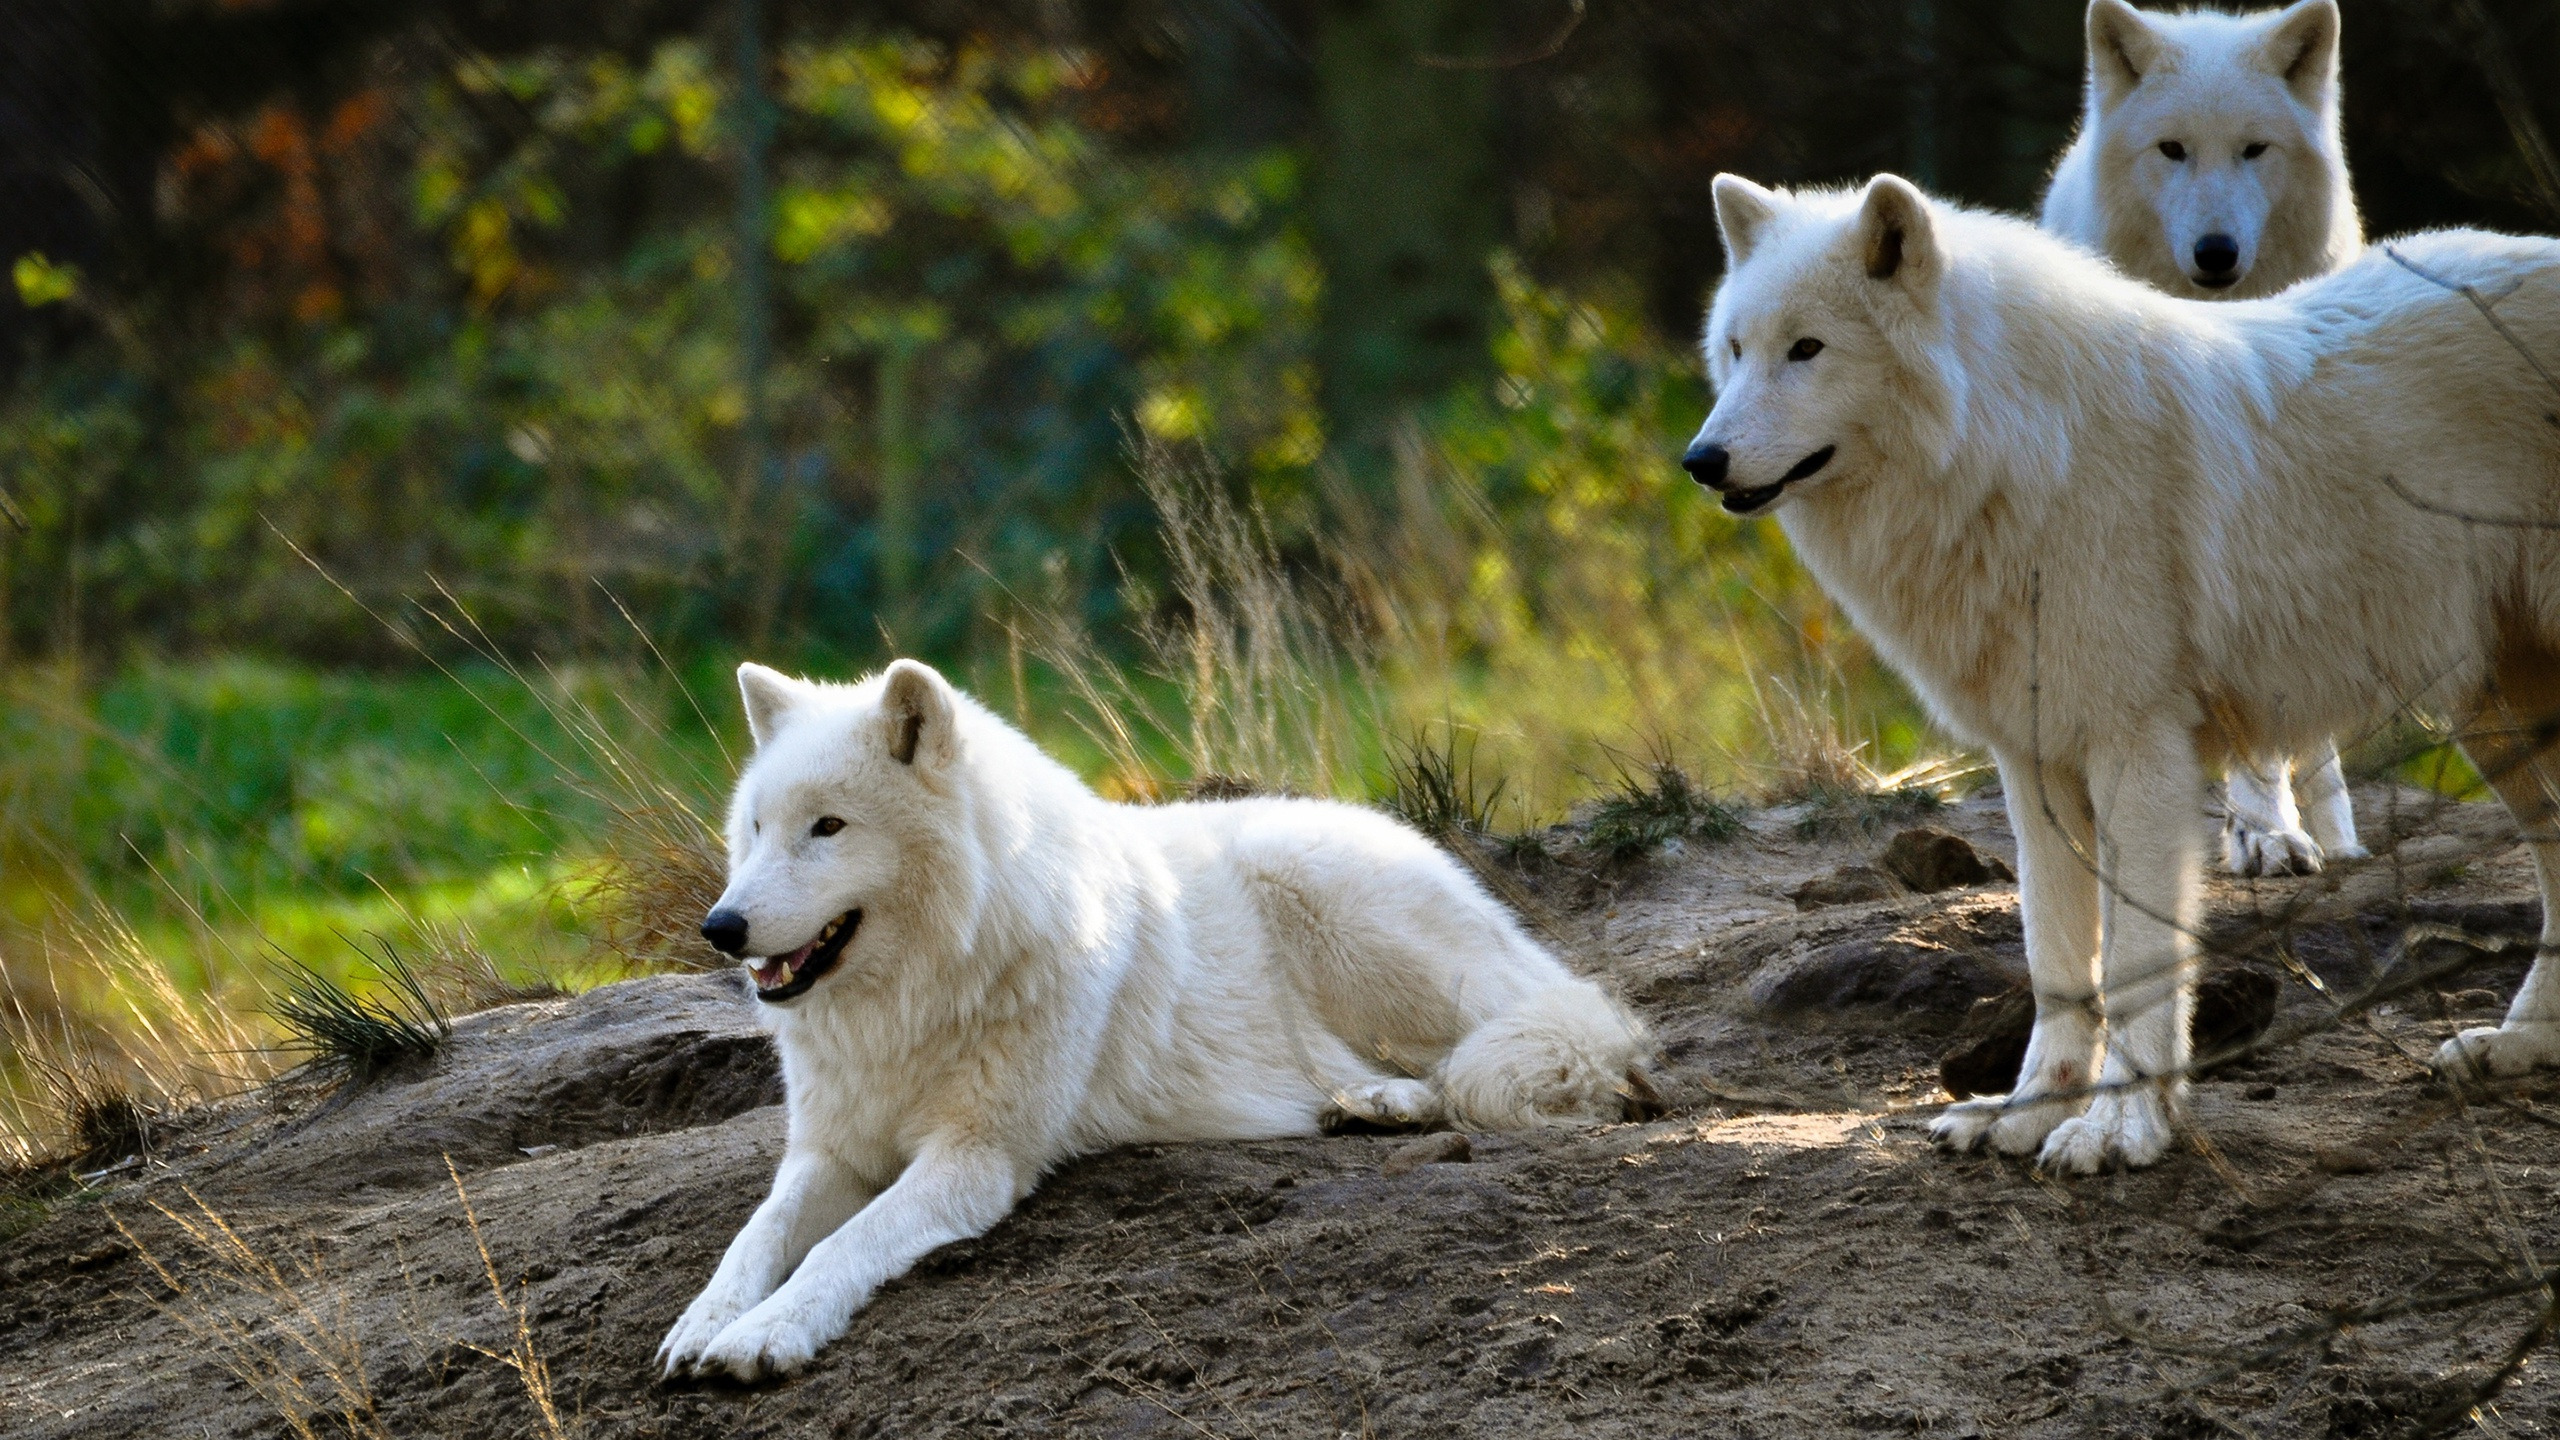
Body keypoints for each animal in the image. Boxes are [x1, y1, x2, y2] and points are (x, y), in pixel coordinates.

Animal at [650, 655, 1628, 1373]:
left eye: (828, 827)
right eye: (757, 828)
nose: (719, 928)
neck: (917, 1001)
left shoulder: (977, 1158)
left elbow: (840, 1246)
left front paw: (763, 1335)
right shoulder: (830, 1151)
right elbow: (755, 1237)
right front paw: (702, 1324)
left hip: (1339, 911)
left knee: (1553, 1039)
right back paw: (1368, 1106)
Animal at [1679, 174, 2560, 1173]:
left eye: (1808, 349)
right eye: (1736, 350)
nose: (1700, 461)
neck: (2022, 452)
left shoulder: (2139, 754)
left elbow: (2137, 965)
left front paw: (2120, 1130)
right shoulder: (2035, 764)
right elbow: (2058, 964)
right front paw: (2024, 1111)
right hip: (2492, 717)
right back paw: (2522, 1045)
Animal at [2037, 0, 2375, 876]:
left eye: (2254, 148)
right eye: (2173, 149)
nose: (2216, 254)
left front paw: (2270, 832)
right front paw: (2252, 830)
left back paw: (2334, 835)